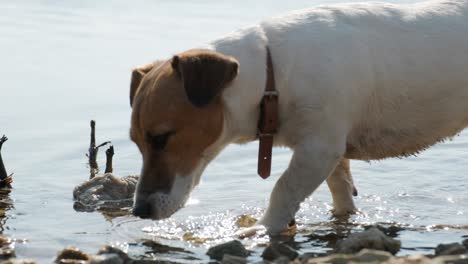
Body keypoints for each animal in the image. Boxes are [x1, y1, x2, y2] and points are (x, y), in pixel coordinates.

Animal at [128, 0, 468, 235]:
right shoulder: (331, 153)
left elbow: (283, 188)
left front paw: (263, 227)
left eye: (161, 138)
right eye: (136, 142)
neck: (272, 75)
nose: (140, 210)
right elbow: (341, 187)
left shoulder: (318, 150)